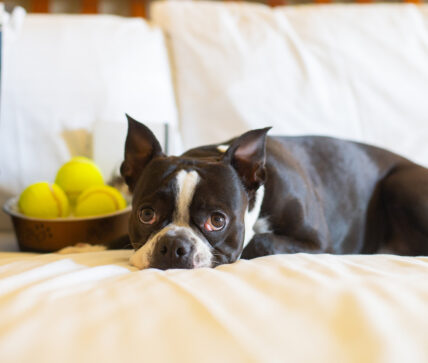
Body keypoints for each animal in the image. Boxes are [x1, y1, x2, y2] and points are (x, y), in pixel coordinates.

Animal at [120, 116, 428, 270]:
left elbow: (260, 242)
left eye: (217, 221)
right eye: (146, 214)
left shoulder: (319, 244)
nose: (174, 246)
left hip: (399, 184)